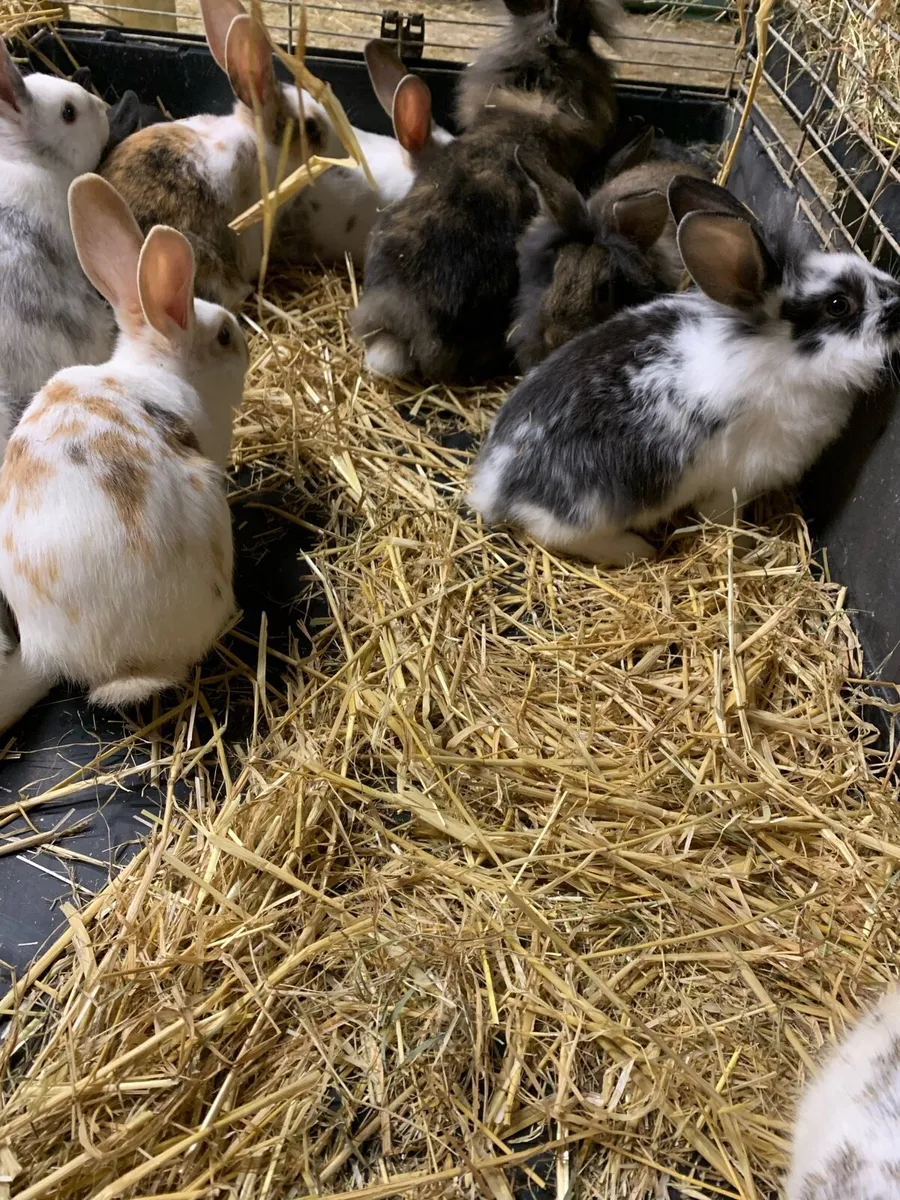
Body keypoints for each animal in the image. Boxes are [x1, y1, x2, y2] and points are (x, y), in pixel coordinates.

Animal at [468, 176, 900, 567]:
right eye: (838, 305)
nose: (897, 300)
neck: (775, 353)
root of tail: (494, 483)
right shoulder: (735, 481)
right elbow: (723, 519)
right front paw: (744, 550)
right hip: (588, 510)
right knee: (555, 534)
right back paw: (636, 550)